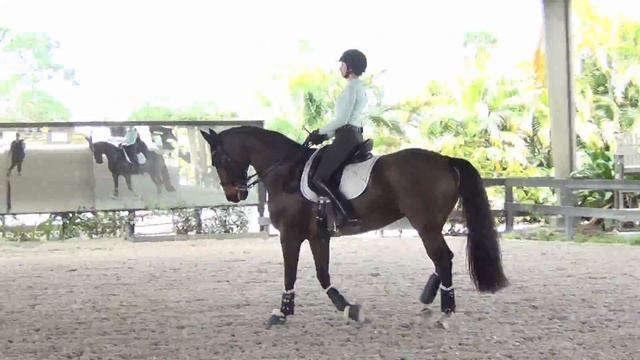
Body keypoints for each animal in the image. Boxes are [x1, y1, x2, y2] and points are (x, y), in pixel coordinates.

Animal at [198, 126, 508, 330]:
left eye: (217, 160)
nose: (233, 195)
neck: (286, 173)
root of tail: (445, 160)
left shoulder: (290, 235)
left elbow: (290, 274)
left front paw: (282, 313)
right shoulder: (317, 236)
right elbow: (323, 275)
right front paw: (350, 309)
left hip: (425, 225)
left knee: (443, 258)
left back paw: (445, 312)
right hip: (431, 225)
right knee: (443, 260)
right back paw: (429, 298)